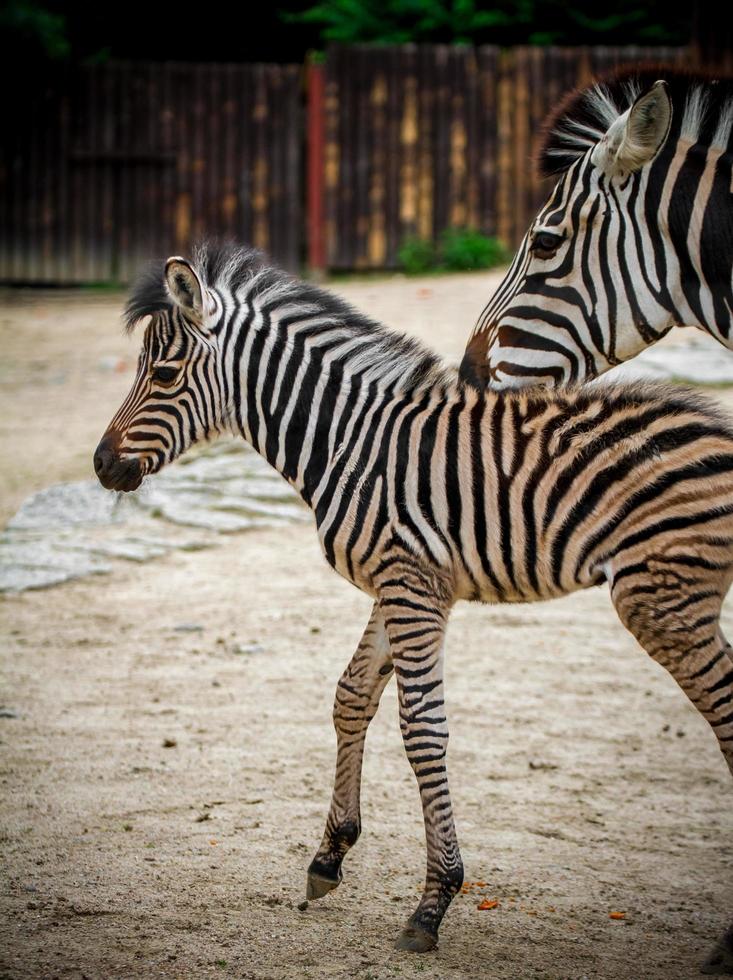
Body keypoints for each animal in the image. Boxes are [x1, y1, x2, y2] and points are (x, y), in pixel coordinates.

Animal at [96, 245, 732, 972]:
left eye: (164, 374)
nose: (101, 465)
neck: (351, 442)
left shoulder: (411, 586)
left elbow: (421, 730)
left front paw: (433, 902)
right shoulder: (401, 583)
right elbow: (350, 695)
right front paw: (329, 856)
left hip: (661, 596)